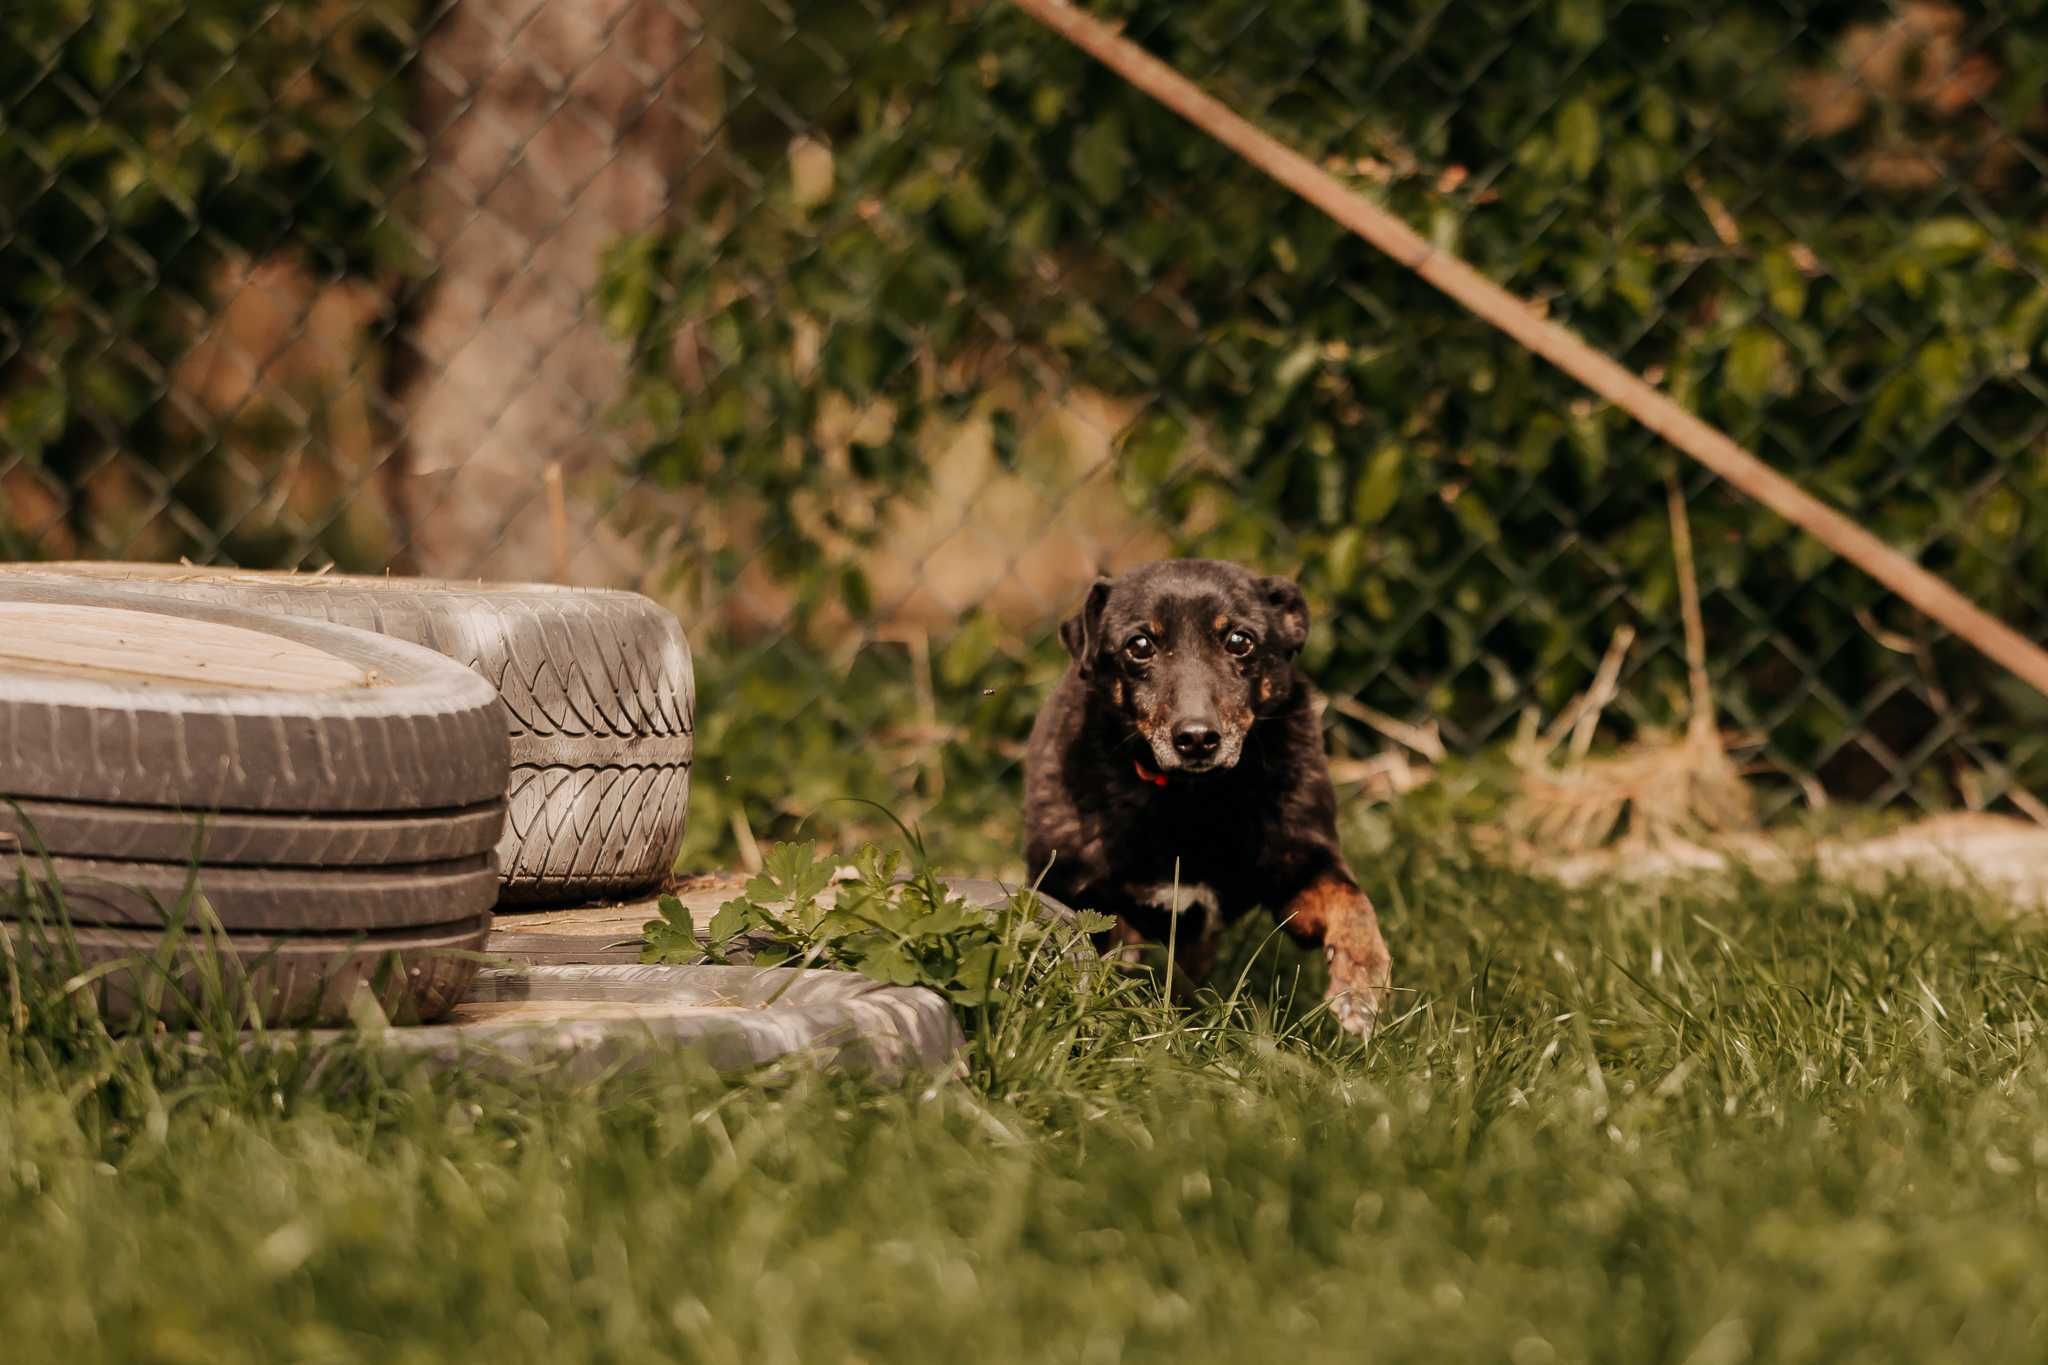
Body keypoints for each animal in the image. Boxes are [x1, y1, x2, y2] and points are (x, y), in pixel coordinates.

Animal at [1024, 560, 1392, 1039]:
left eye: (1239, 640)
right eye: (1139, 645)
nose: (1197, 738)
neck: (1194, 802)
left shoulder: (1300, 870)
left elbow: (1351, 901)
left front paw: (1361, 983)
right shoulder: (1077, 892)